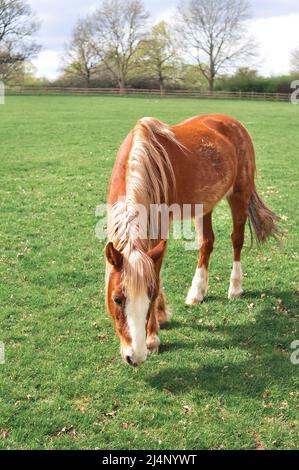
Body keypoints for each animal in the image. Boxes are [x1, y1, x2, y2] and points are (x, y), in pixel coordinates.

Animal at [105, 114, 282, 368]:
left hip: (239, 194)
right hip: (204, 205)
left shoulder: (159, 228)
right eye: (117, 299)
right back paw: (197, 292)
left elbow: (156, 272)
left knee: (236, 240)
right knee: (206, 243)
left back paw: (235, 288)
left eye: (149, 296)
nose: (135, 357)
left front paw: (152, 337)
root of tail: (232, 122)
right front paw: (162, 316)